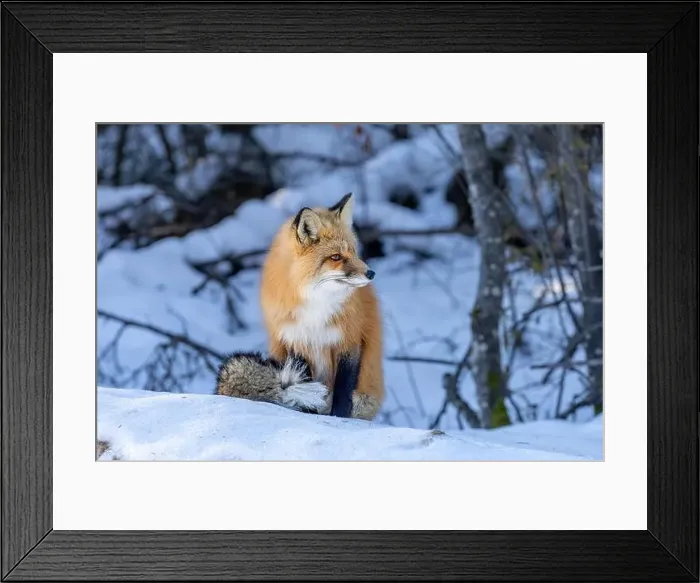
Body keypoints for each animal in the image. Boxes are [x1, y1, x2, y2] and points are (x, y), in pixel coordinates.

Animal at [258, 192, 384, 420]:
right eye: (336, 257)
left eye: (354, 252)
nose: (371, 273)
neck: (316, 307)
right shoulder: (295, 341)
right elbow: (305, 387)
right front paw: (308, 413)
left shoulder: (349, 340)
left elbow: (343, 390)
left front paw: (340, 417)